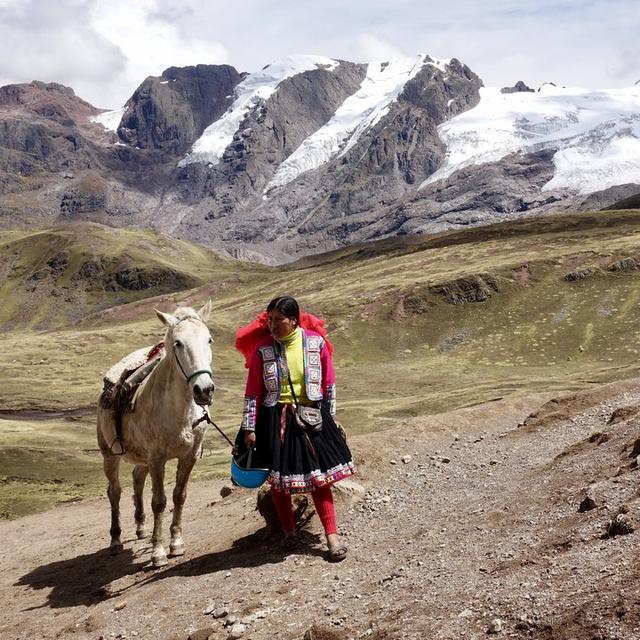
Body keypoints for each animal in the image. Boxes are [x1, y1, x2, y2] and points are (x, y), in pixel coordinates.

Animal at [95, 302, 215, 568]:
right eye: (178, 343)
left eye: (209, 340)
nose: (204, 390)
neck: (179, 411)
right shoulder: (158, 458)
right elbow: (159, 502)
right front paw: (158, 552)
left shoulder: (188, 457)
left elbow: (180, 496)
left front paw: (176, 543)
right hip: (110, 455)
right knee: (114, 492)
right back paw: (115, 540)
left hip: (142, 458)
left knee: (137, 479)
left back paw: (141, 528)